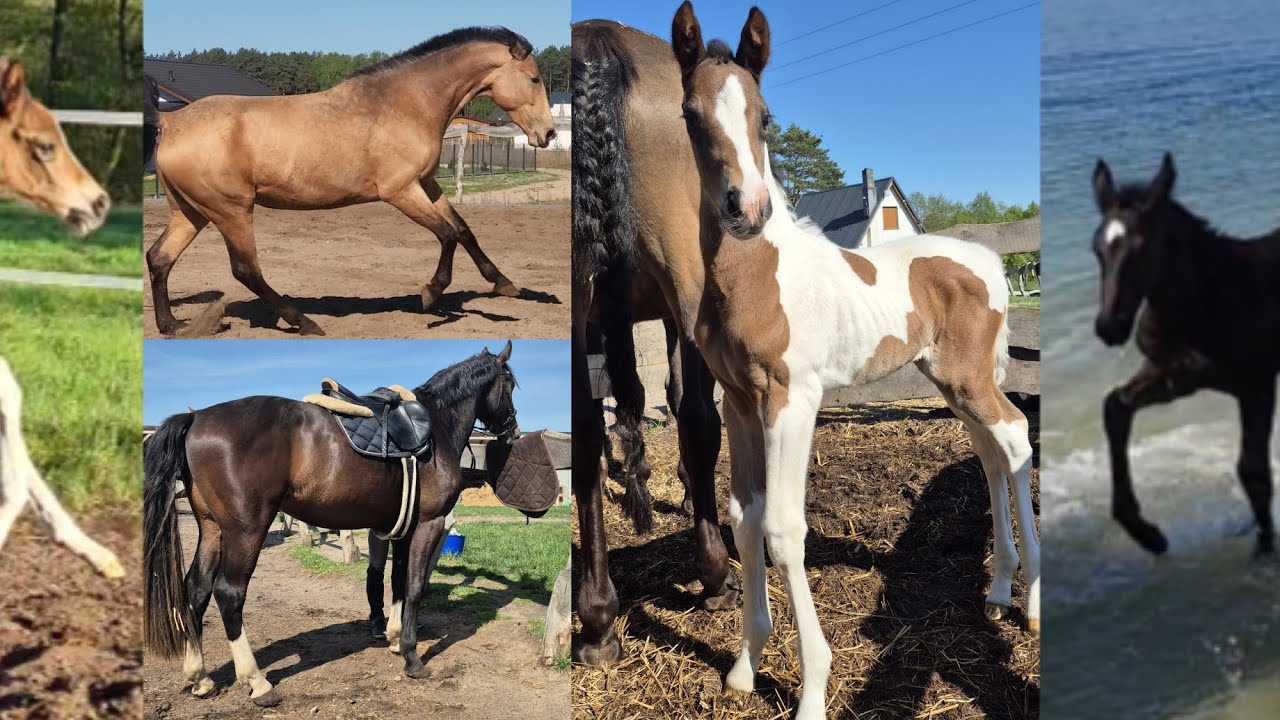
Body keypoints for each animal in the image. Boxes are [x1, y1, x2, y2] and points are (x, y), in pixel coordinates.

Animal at [142, 343, 519, 707]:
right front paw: (412, 657)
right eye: (511, 384)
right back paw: (257, 682)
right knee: (228, 592)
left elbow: (397, 582)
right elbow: (414, 588)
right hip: (246, 530)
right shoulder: (429, 523)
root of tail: (196, 416)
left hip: (212, 529)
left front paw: (396, 639)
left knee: (197, 589)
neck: (436, 427)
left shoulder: (403, 529)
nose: (513, 429)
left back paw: (200, 678)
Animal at [144, 27, 555, 337]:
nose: (548, 134)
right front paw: (430, 294)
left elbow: (464, 229)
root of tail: (172, 122)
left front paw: (505, 284)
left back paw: (172, 325)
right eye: (534, 78)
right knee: (246, 270)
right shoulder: (399, 191)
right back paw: (305, 323)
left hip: (191, 212)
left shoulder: (425, 183)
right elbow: (448, 234)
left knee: (159, 257)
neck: (406, 103)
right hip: (231, 210)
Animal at [670, 5, 1039, 717]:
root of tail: (990, 262)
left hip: (968, 378)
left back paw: (1032, 599)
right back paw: (1000, 590)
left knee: (1016, 436)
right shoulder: (740, 402)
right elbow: (745, 520)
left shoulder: (792, 398)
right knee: (991, 452)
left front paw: (812, 687)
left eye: (765, 116)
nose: (745, 209)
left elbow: (784, 528)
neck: (757, 274)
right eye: (689, 114)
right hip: (951, 379)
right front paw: (745, 666)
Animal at [1092, 153, 1280, 557]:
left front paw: (1265, 548)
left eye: (1142, 247)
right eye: (1097, 248)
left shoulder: (1257, 385)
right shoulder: (1175, 376)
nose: (1109, 326)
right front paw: (1145, 532)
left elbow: (1254, 471)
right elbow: (1116, 407)